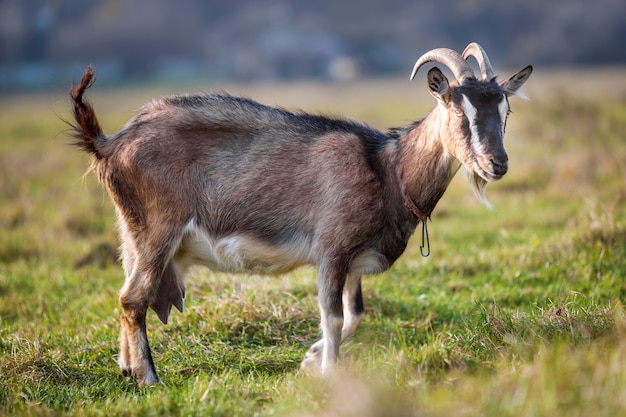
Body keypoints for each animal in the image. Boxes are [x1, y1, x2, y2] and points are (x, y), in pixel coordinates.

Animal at [69, 43, 532, 386]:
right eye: (458, 110)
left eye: (505, 111)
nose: (497, 164)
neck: (388, 169)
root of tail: (110, 143)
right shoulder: (332, 248)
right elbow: (334, 316)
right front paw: (329, 373)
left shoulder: (353, 260)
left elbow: (355, 313)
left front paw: (310, 360)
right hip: (158, 230)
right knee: (134, 297)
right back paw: (150, 378)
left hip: (131, 231)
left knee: (128, 294)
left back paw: (127, 368)